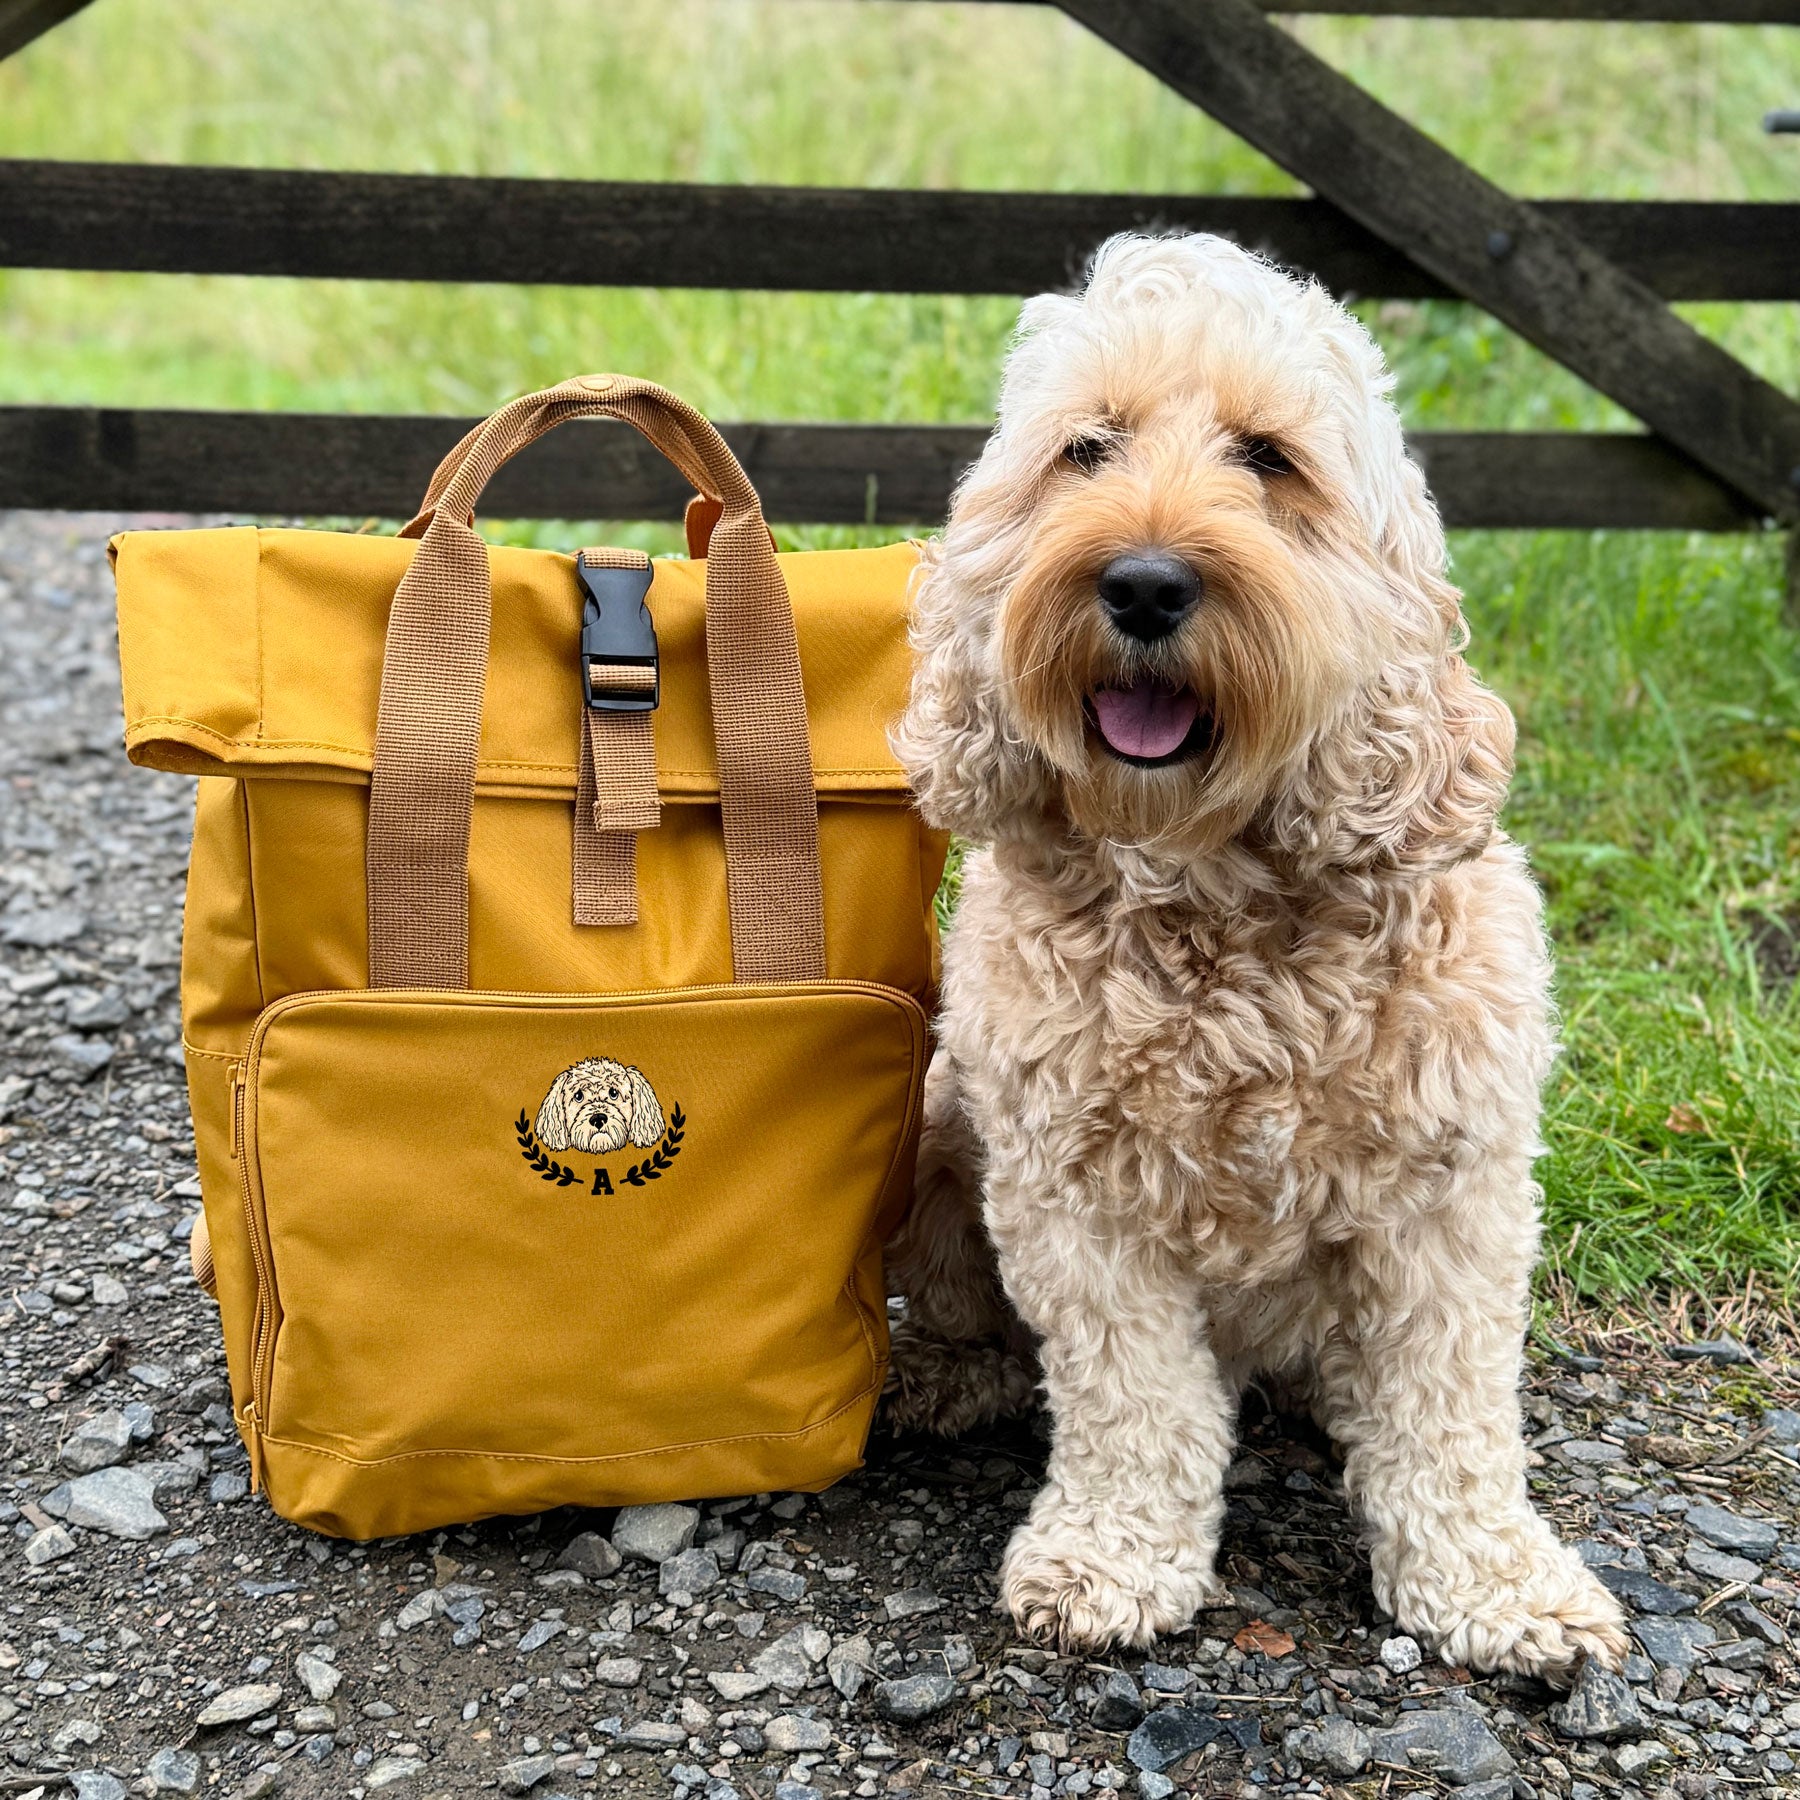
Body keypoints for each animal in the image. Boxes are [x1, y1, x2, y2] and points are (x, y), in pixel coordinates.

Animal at [885, 232, 1634, 1677]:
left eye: (1270, 458)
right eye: (1087, 449)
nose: (1142, 582)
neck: (1213, 894)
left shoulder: (1455, 1194)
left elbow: (1452, 1408)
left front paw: (1495, 1583)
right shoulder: (1074, 1199)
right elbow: (1134, 1402)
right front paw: (1113, 1561)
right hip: (945, 1117)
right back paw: (954, 1373)